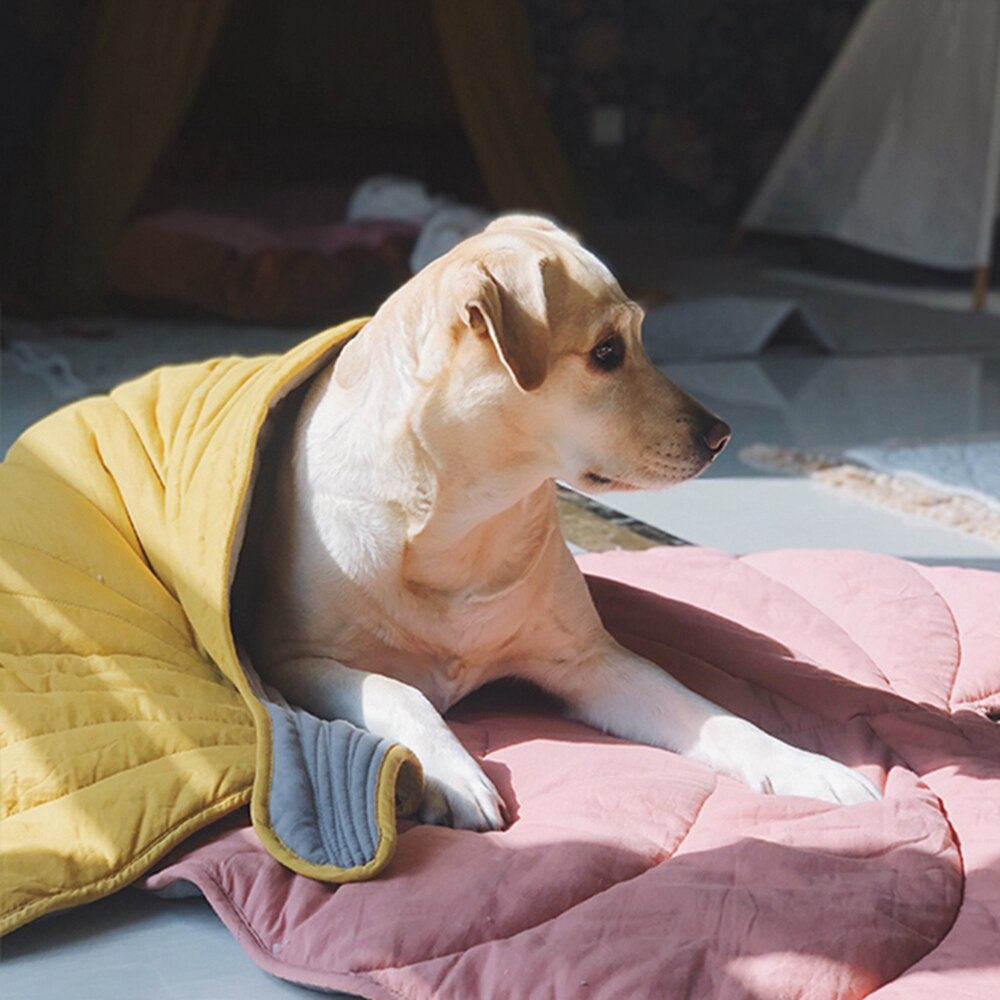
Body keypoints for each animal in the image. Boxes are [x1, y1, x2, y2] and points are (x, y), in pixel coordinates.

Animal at [248, 217, 876, 828]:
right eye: (606, 352)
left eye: (637, 339)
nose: (721, 436)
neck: (464, 519)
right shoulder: (293, 661)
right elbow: (396, 691)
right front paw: (455, 774)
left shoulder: (592, 661)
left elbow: (715, 715)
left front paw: (809, 766)